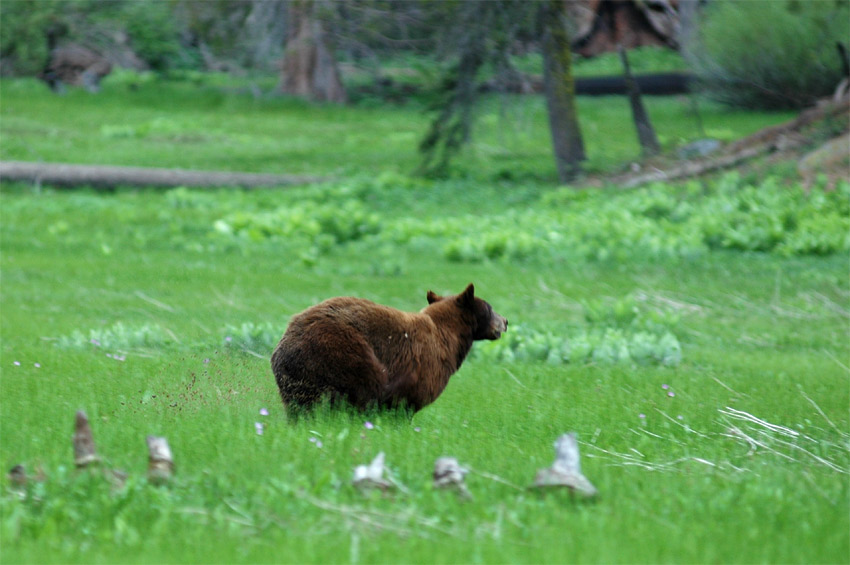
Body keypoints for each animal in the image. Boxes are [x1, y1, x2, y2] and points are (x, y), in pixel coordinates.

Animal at [272, 284, 506, 412]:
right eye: (490, 308)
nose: (505, 321)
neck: (448, 337)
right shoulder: (422, 367)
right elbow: (404, 402)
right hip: (343, 352)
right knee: (365, 386)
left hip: (297, 382)